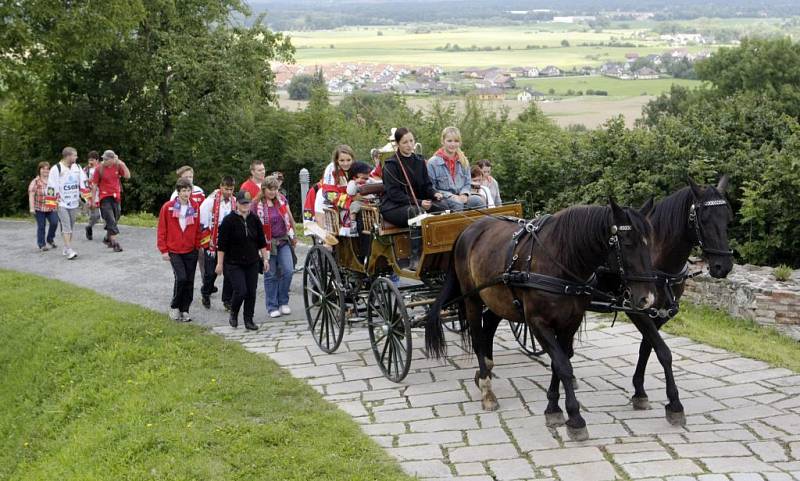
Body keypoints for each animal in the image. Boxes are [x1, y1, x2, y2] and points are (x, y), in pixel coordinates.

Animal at [424, 201, 656, 440]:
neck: (561, 260)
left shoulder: (570, 323)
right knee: (478, 339)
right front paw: (575, 418)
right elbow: (563, 365)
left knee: (488, 323)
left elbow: (559, 362)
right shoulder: (537, 323)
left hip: (497, 297)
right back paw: (487, 391)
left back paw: (484, 371)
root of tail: (467, 229)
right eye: (627, 244)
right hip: (472, 298)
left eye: (650, 242)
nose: (647, 299)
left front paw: (553, 408)